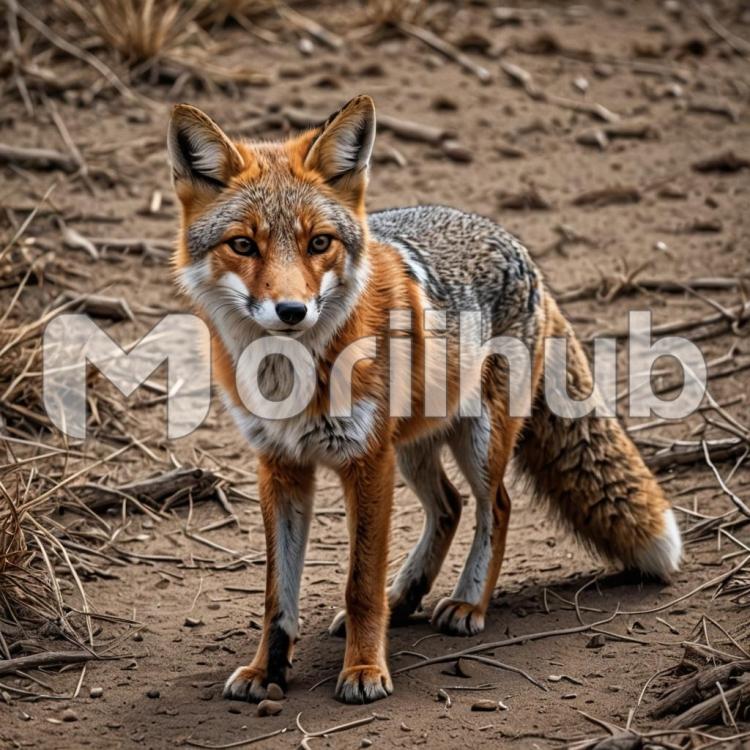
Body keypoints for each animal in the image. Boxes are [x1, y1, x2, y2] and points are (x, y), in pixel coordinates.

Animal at [167, 95, 682, 704]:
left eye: (319, 242)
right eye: (244, 245)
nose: (292, 311)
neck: (291, 378)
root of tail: (519, 248)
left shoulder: (366, 462)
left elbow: (359, 583)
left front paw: (364, 669)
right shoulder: (282, 466)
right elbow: (277, 593)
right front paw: (267, 670)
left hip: (476, 443)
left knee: (494, 507)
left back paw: (467, 603)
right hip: (412, 450)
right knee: (450, 507)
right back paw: (405, 597)